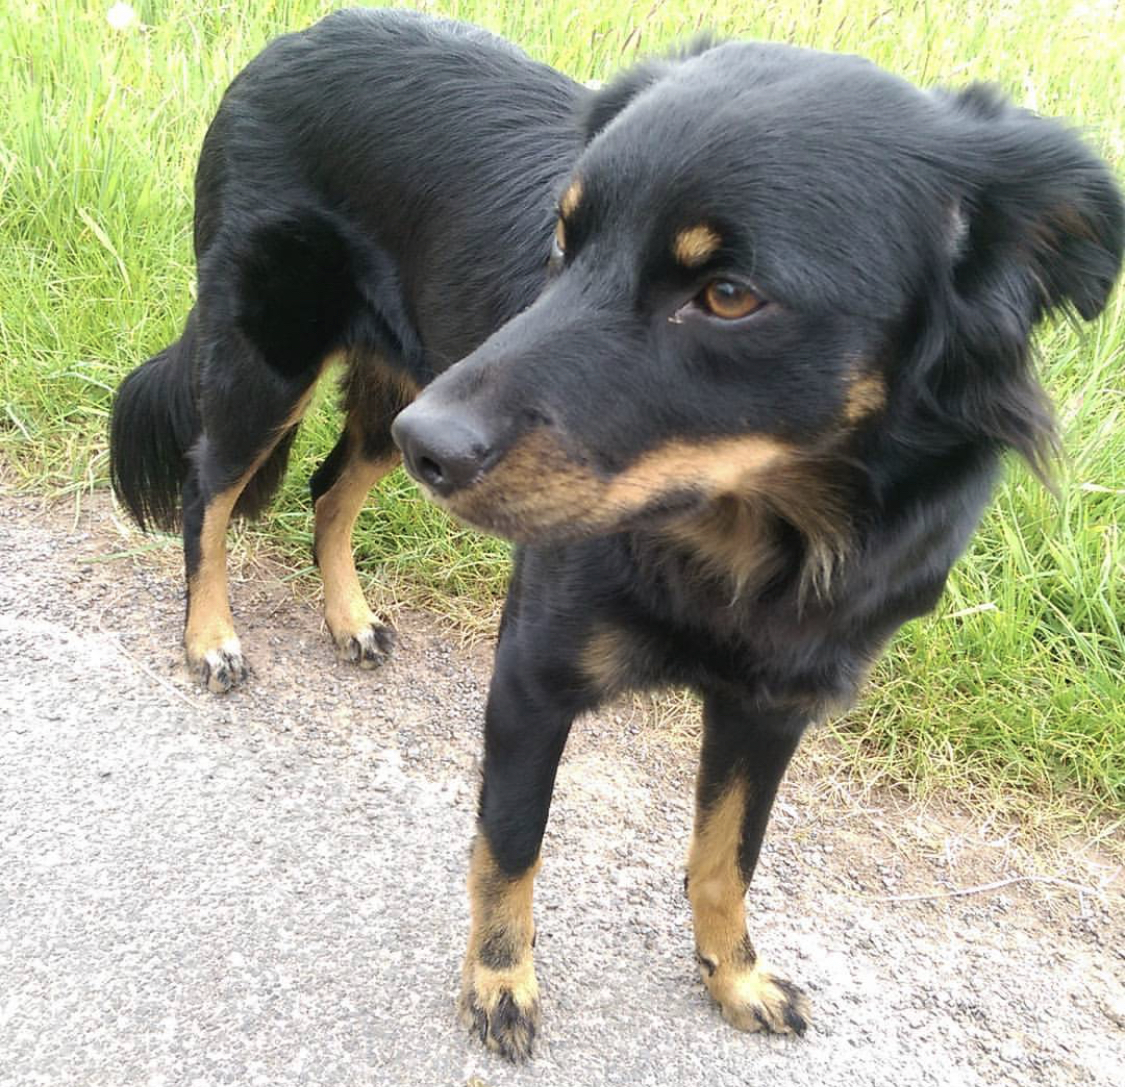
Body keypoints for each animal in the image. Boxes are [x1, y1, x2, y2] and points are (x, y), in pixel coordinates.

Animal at [109, 6, 1120, 1062]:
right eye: (564, 244)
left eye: (727, 295)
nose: (433, 442)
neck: (757, 533)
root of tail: (289, 41)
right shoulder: (530, 676)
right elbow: (510, 844)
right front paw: (499, 983)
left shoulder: (772, 703)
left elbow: (727, 857)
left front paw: (735, 975)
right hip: (277, 363)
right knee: (209, 493)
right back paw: (211, 636)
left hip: (391, 385)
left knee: (328, 488)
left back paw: (348, 616)